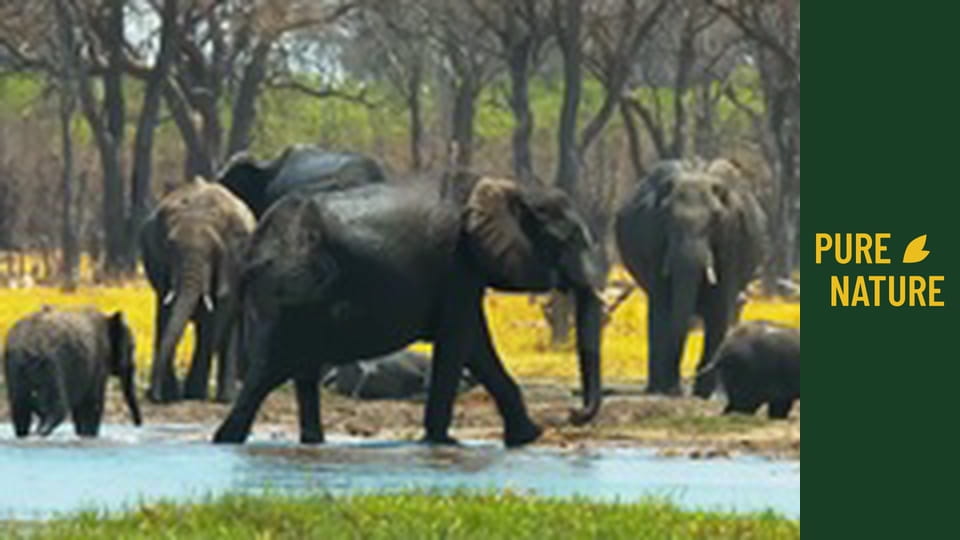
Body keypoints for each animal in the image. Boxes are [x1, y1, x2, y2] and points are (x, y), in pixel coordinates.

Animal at [3, 306, 141, 437]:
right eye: (133, 347)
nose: (138, 425)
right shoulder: (98, 362)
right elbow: (93, 404)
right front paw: (90, 436)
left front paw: (82, 435)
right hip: (50, 364)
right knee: (57, 409)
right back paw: (41, 431)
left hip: (13, 368)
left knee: (20, 410)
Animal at [140, 175, 257, 403]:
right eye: (169, 248)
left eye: (215, 252)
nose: (151, 395)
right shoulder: (161, 267)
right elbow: (165, 314)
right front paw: (170, 395)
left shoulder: (232, 262)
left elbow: (216, 318)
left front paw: (192, 394)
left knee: (228, 321)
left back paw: (225, 398)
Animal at [615, 158, 767, 397]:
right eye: (666, 218)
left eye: (715, 219)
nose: (678, 389)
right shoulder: (653, 240)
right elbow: (663, 308)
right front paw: (667, 389)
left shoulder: (732, 240)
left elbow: (720, 309)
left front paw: (704, 393)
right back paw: (655, 388)